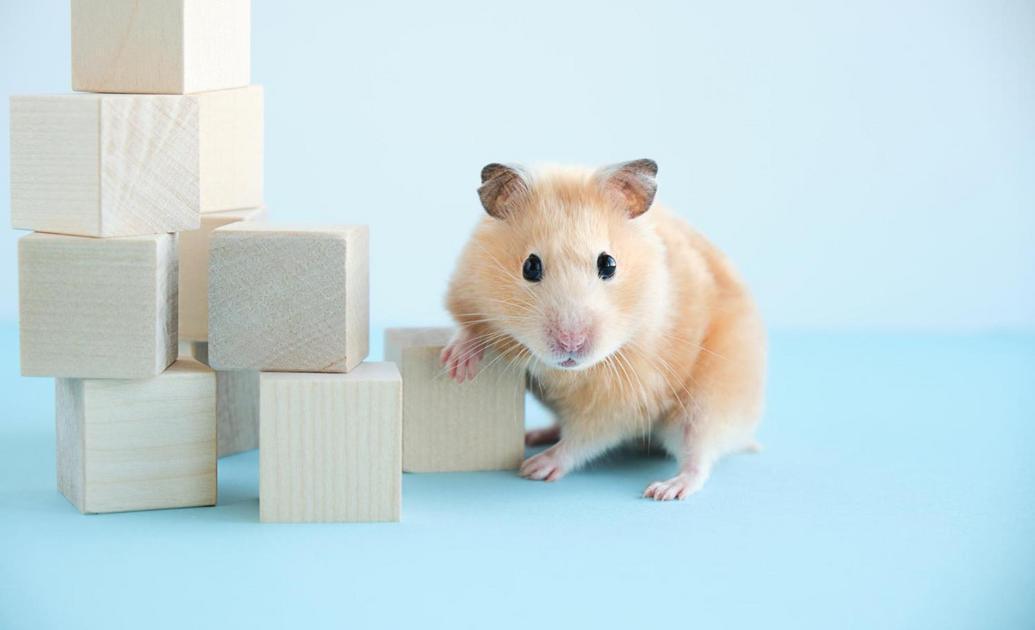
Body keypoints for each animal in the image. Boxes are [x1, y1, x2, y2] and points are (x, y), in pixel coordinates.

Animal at [441, 159, 765, 500]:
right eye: (530, 266)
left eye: (608, 264)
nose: (571, 344)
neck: (567, 372)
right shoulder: (468, 292)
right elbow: (469, 326)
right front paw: (457, 365)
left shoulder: (622, 401)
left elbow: (585, 439)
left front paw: (534, 469)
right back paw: (536, 434)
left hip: (709, 401)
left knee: (699, 456)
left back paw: (665, 490)